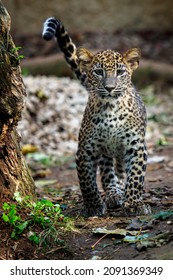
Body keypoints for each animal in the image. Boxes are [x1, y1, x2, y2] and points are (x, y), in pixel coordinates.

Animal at [42, 17, 151, 218]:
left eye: (120, 72)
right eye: (99, 72)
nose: (109, 87)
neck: (111, 109)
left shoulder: (136, 146)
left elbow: (135, 177)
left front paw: (134, 204)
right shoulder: (86, 150)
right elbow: (87, 182)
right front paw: (93, 206)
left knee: (120, 170)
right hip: (105, 152)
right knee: (107, 173)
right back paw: (113, 194)